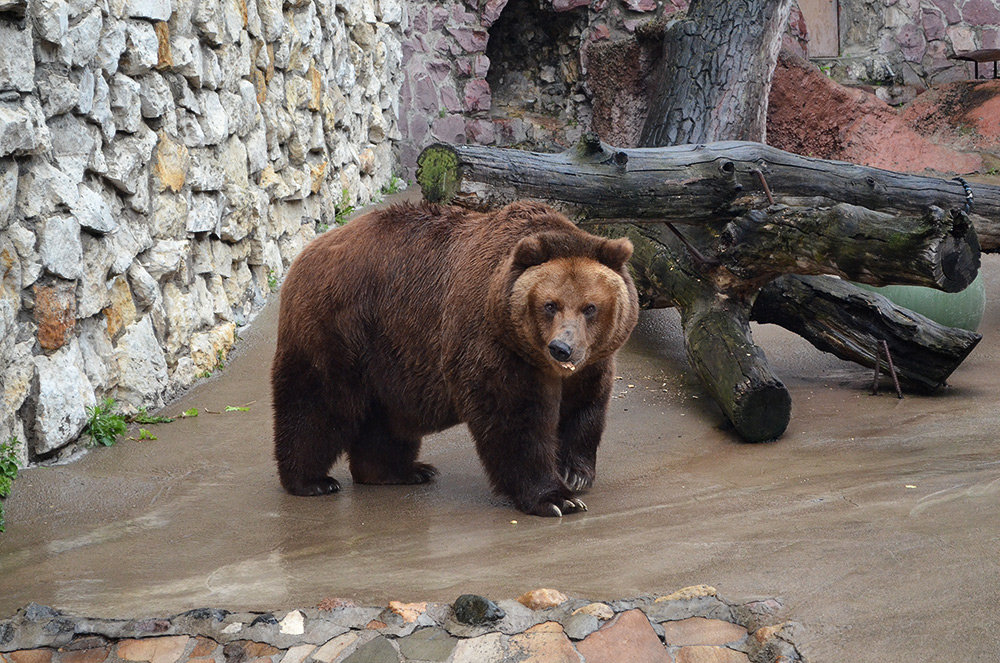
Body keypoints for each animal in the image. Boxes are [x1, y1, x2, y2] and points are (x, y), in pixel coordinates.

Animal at [270, 200, 636, 516]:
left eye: (590, 307)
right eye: (550, 304)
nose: (561, 348)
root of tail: (309, 250)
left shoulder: (591, 361)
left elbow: (584, 406)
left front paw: (575, 472)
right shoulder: (495, 344)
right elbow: (515, 417)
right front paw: (556, 498)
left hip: (390, 352)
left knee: (384, 418)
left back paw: (399, 471)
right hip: (341, 326)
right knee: (317, 402)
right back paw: (311, 481)